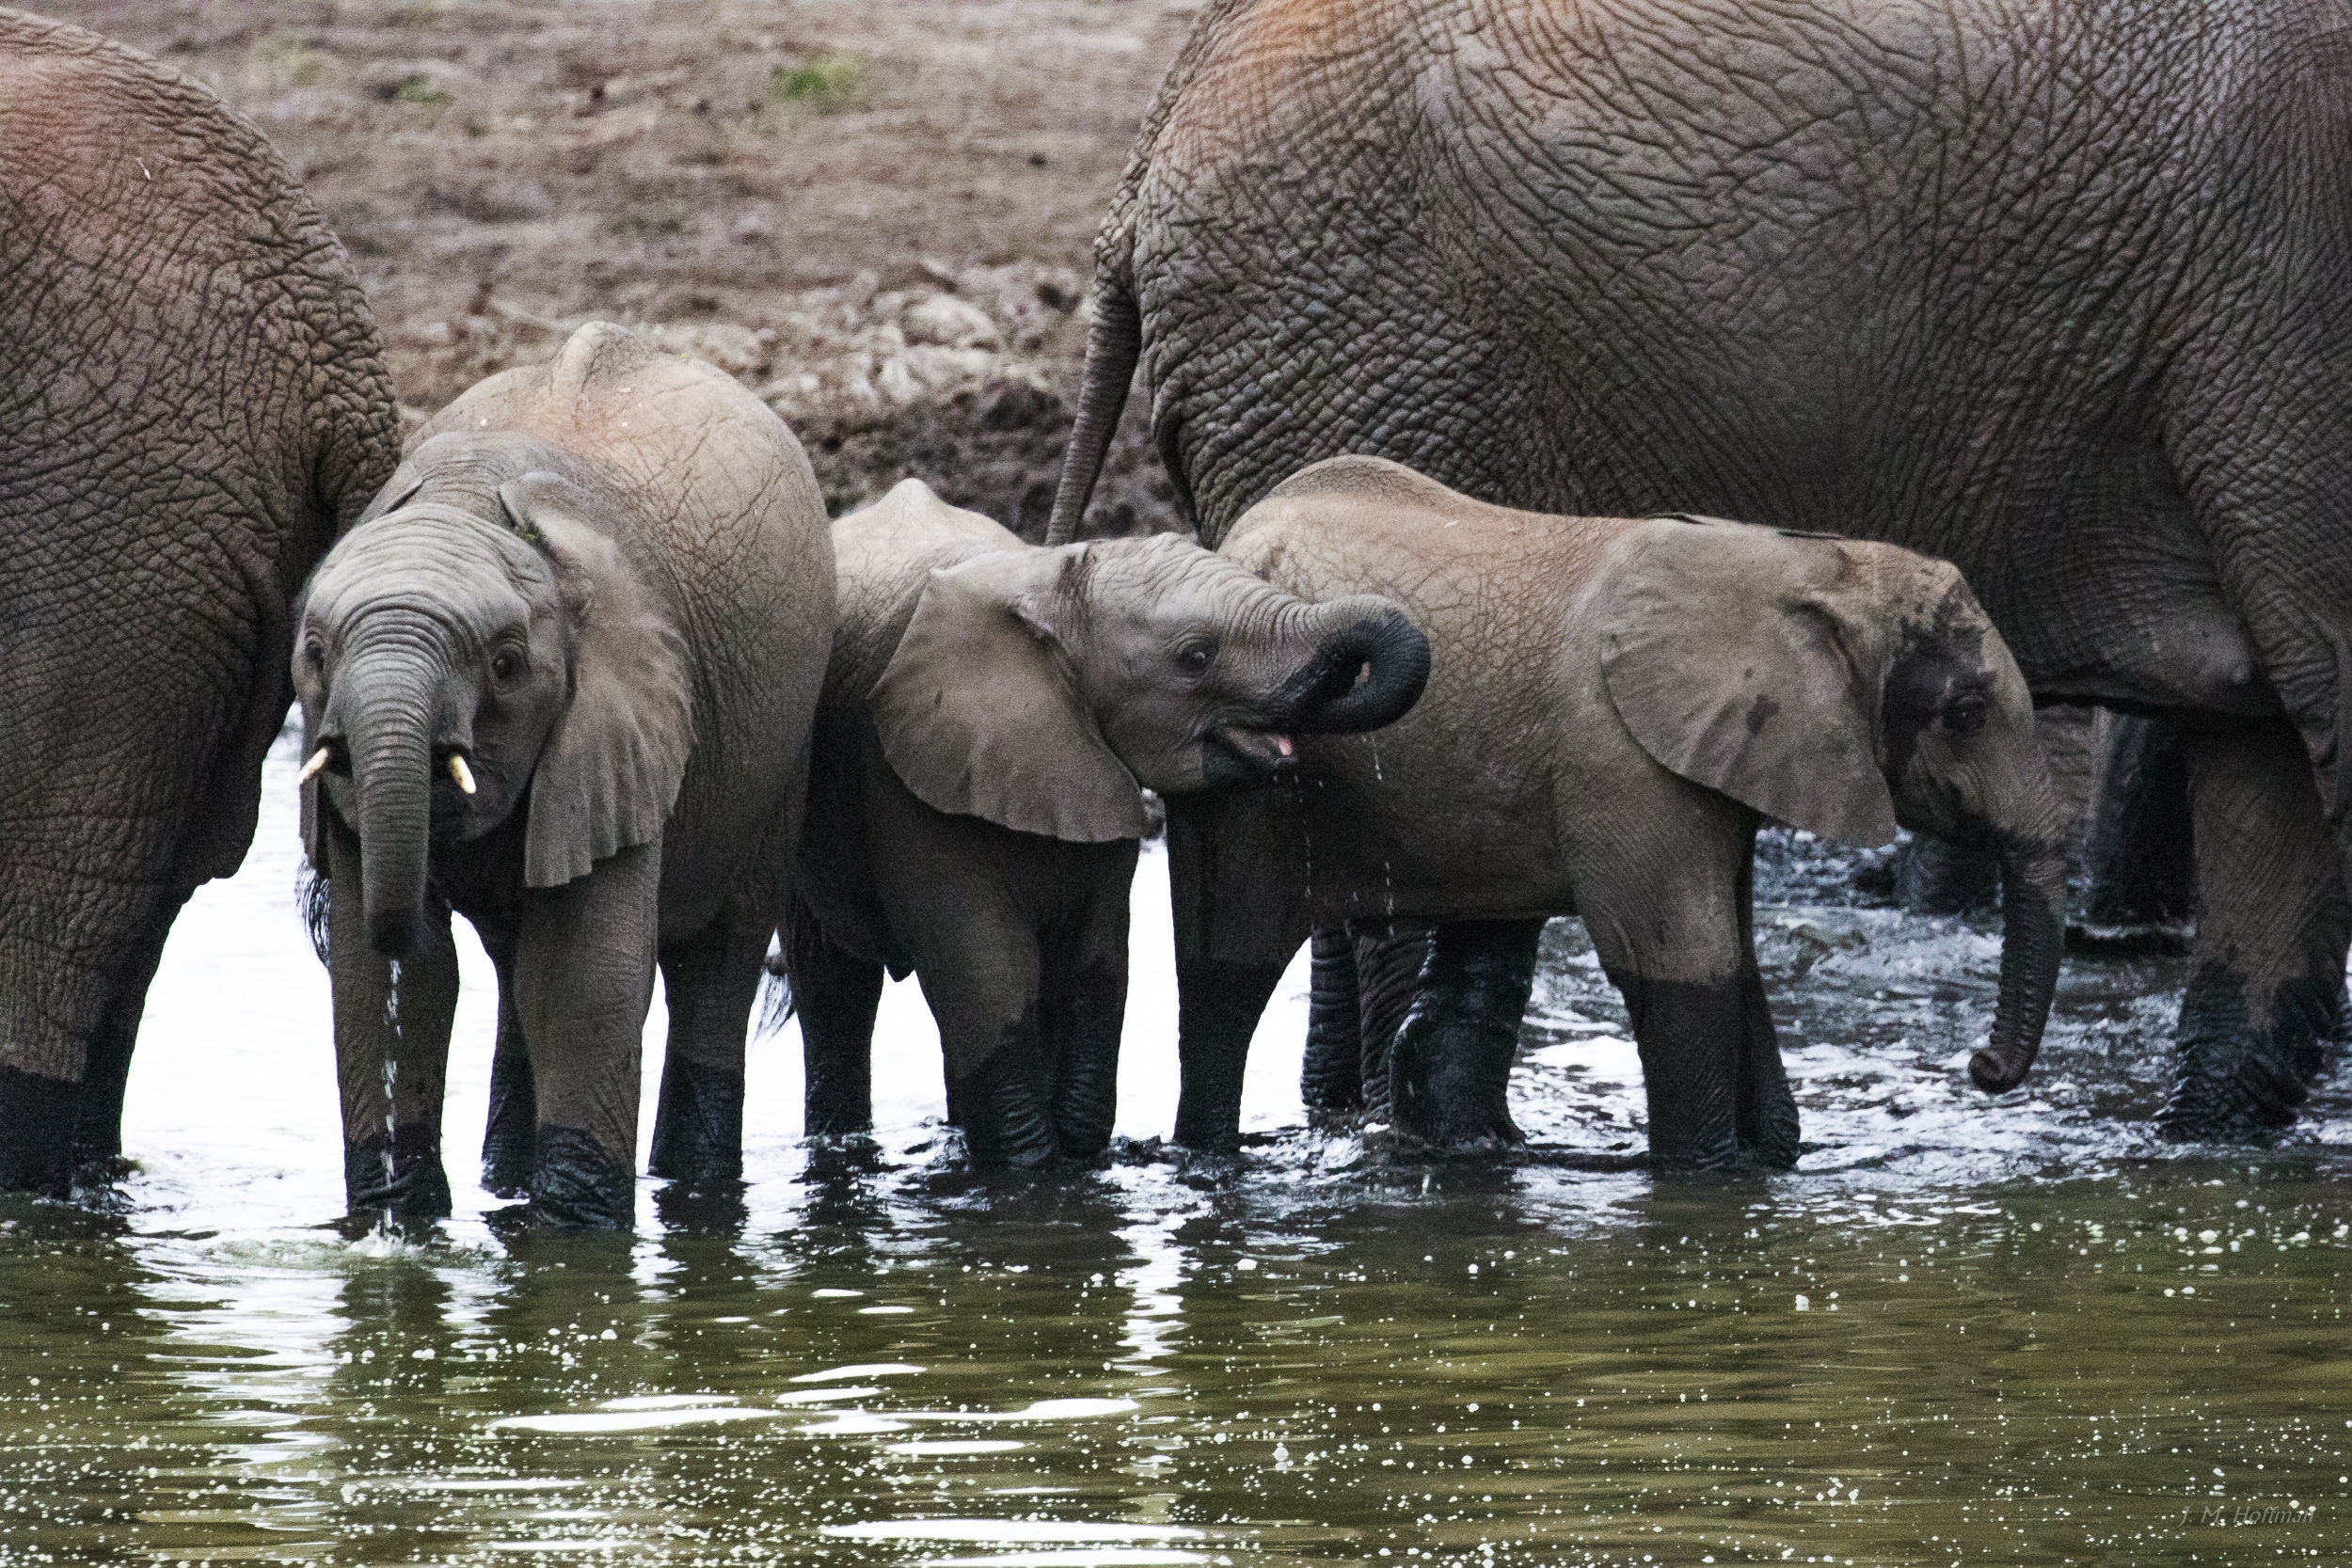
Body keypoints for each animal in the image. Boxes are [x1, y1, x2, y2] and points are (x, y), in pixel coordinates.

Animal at [296, 323, 833, 1228]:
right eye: (314, 653)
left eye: (507, 666)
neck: (469, 500)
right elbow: (387, 985)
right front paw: (396, 1220)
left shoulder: (627, 725)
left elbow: (587, 979)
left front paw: (574, 1232)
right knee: (519, 976)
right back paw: (503, 1182)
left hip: (777, 756)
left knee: (716, 958)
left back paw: (693, 1184)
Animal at [787, 477, 1429, 1165]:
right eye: (1196, 656)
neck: (1050, 592)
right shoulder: (904, 780)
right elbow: (990, 984)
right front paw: (1031, 1169)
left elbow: (1095, 972)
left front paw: (1081, 1155)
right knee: (833, 986)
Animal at [1163, 458, 2066, 1166]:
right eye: (1966, 713)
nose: (1982, 1066)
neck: (1817, 568)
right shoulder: (1628, 758)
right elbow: (1679, 959)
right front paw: (1709, 1174)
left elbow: (1738, 953)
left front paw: (1771, 1158)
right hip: (1237, 776)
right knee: (1226, 975)